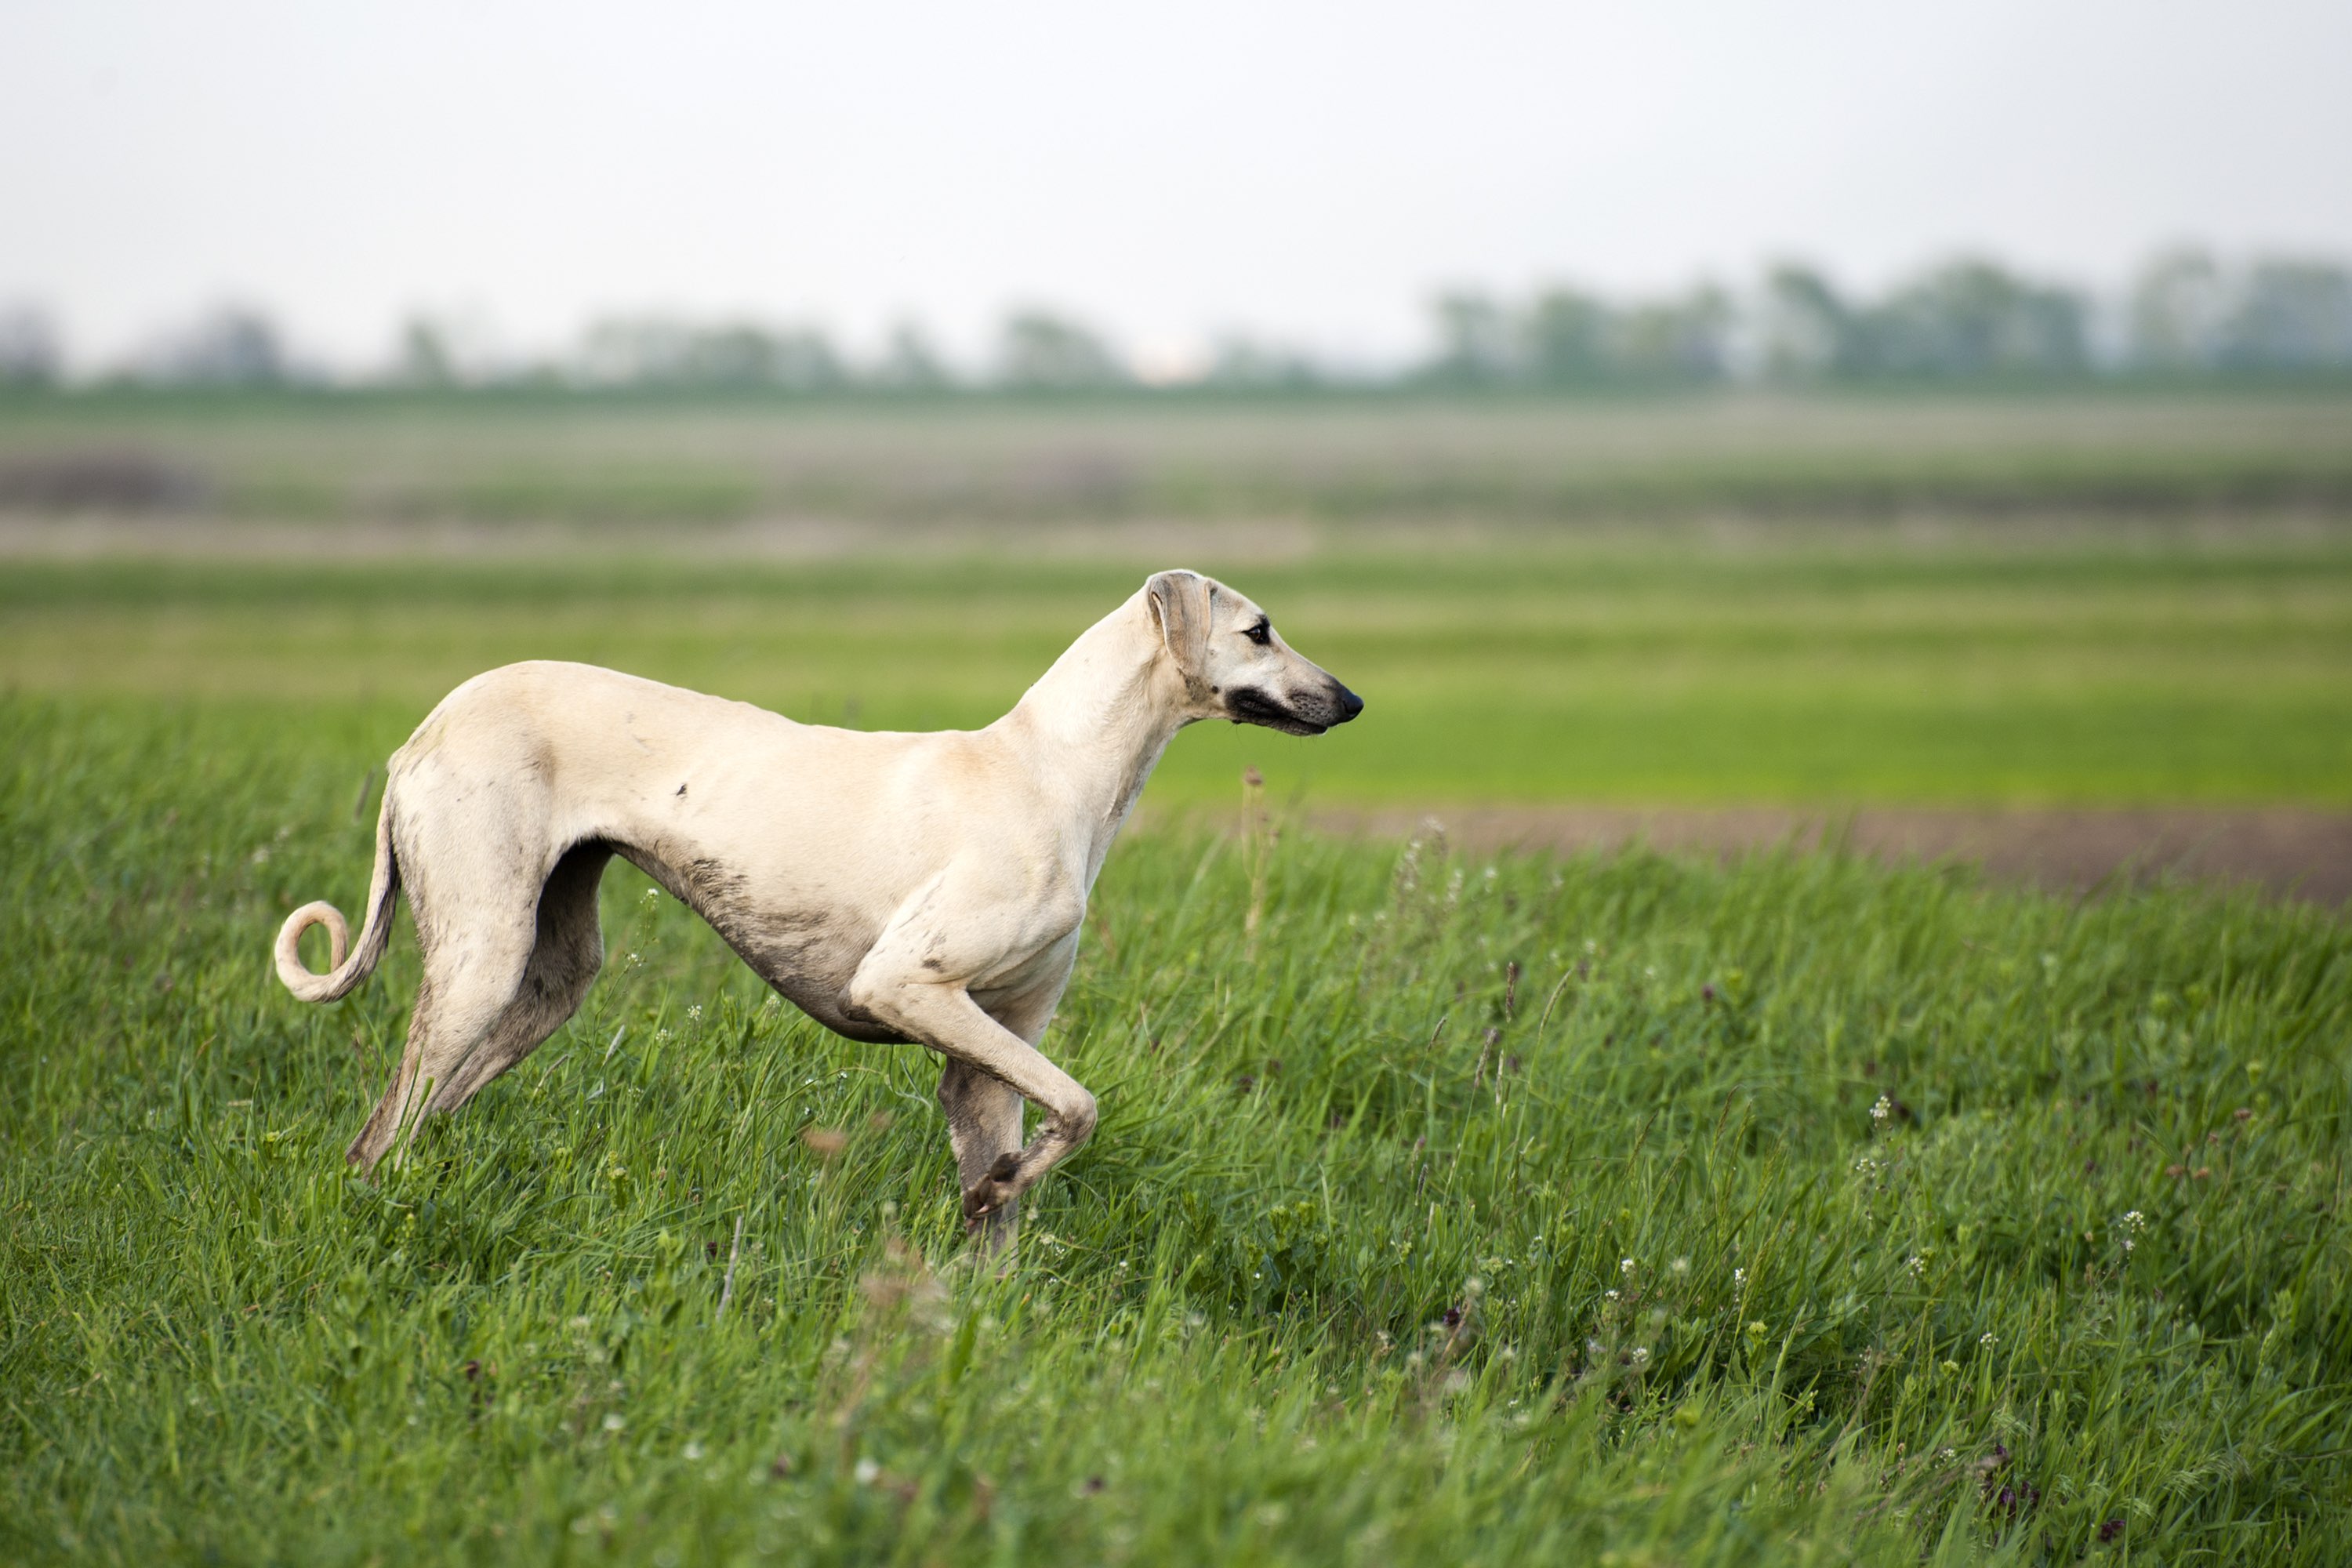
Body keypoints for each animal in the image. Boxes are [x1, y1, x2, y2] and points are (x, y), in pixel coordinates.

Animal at [280, 571, 1364, 1241]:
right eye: (1259, 630)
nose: (1351, 702)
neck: (1051, 769)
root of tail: (421, 732)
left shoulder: (987, 1056)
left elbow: (1011, 1189)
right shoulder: (905, 984)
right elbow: (1084, 1106)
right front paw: (1008, 1180)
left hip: (549, 980)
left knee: (421, 1118)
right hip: (482, 956)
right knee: (378, 1135)